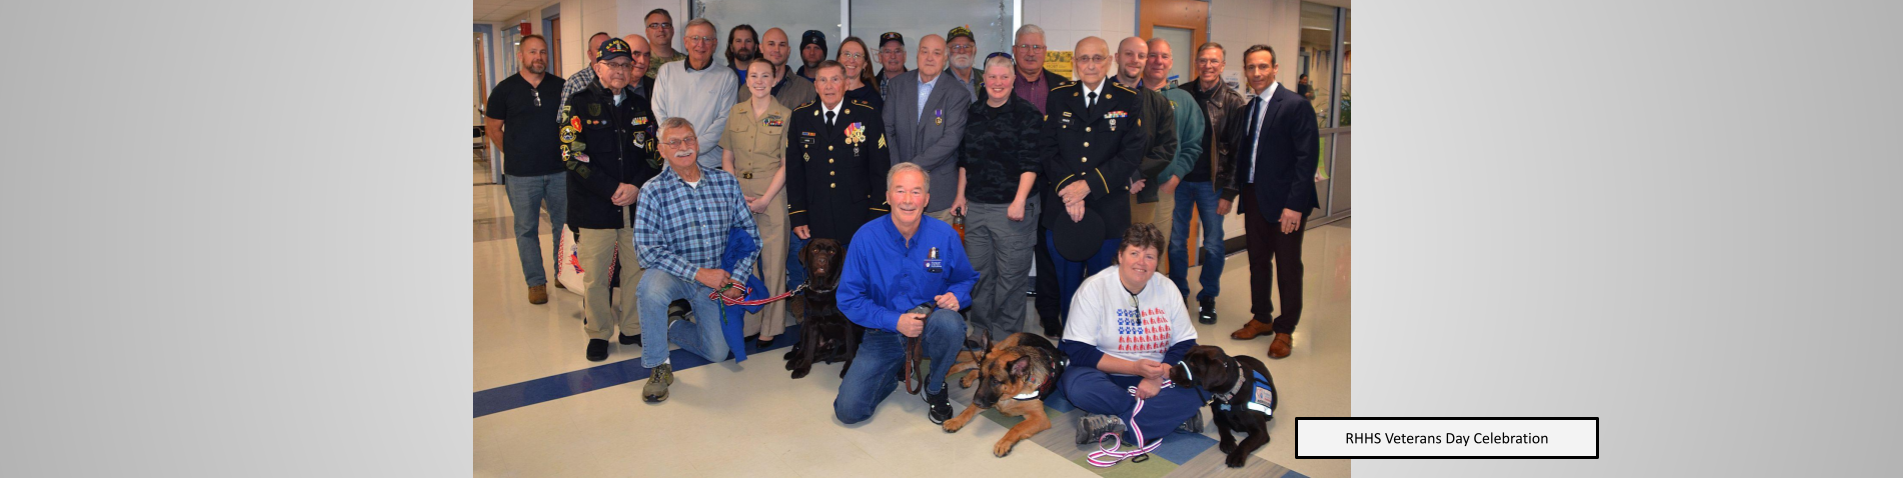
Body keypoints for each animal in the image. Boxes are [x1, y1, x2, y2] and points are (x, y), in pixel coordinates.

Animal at [780, 239, 863, 380]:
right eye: (814, 250)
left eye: (832, 252)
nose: (822, 260)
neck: (823, 291)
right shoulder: (812, 324)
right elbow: (809, 349)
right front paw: (804, 368)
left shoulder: (849, 325)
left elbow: (850, 351)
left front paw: (847, 370)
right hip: (805, 325)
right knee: (804, 348)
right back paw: (795, 360)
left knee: (825, 355)